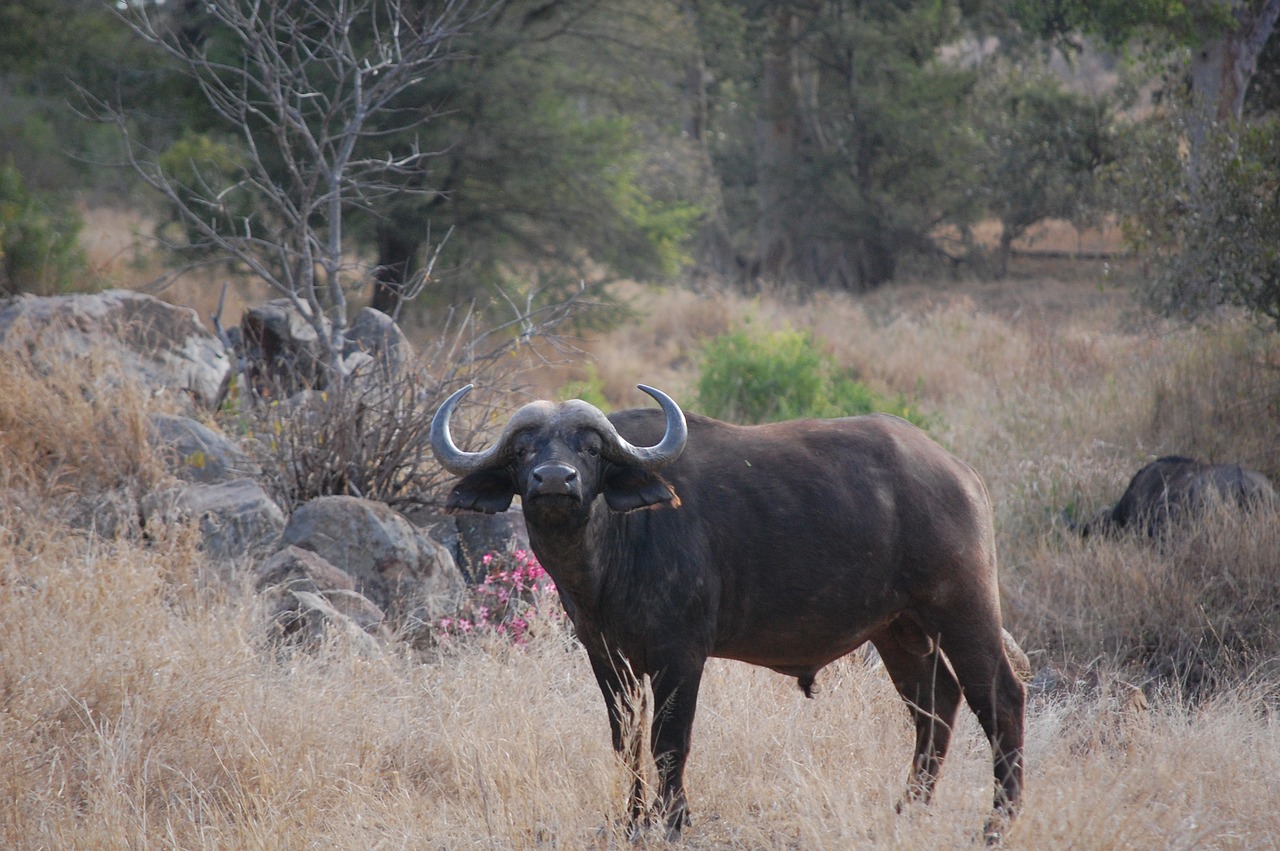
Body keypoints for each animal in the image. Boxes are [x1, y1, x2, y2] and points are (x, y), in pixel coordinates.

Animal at [435, 383, 1024, 834]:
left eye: (591, 449)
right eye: (522, 451)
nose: (555, 480)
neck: (608, 559)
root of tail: (958, 473)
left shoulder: (681, 656)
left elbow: (670, 741)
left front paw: (673, 821)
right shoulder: (607, 659)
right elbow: (627, 740)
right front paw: (632, 820)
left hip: (962, 608)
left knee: (999, 697)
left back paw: (998, 822)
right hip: (899, 630)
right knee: (935, 703)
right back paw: (908, 809)